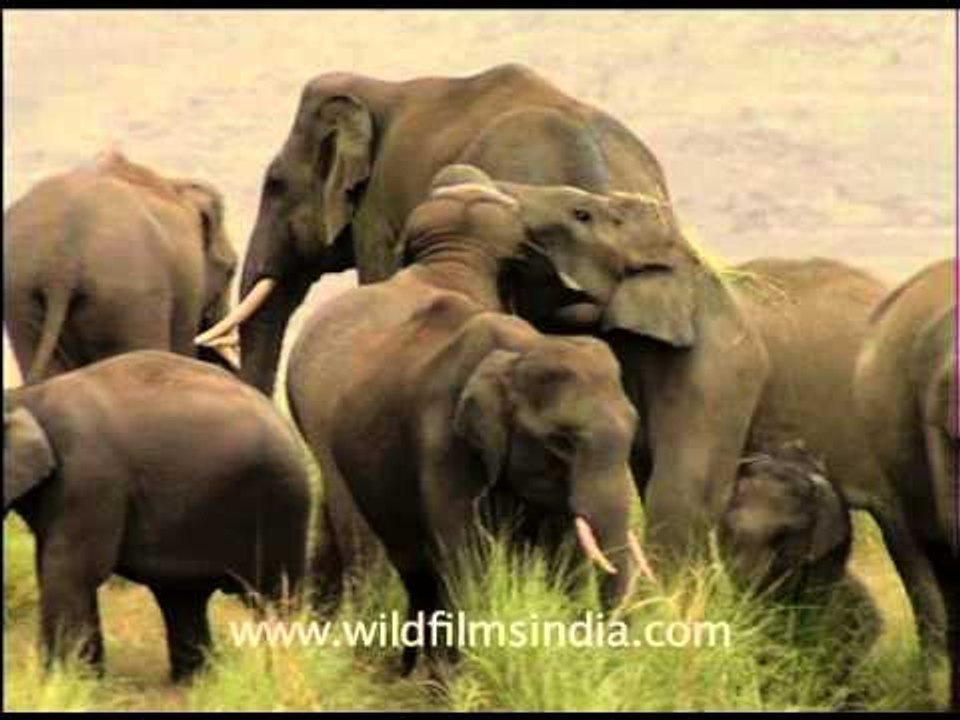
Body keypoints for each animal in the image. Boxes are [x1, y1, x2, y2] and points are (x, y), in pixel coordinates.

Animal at [3, 350, 311, 682]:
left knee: (273, 598)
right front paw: (84, 681)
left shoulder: (87, 476)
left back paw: (275, 673)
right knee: (182, 596)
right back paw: (195, 681)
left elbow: (72, 570)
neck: (27, 396)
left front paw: (63, 682)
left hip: (282, 503)